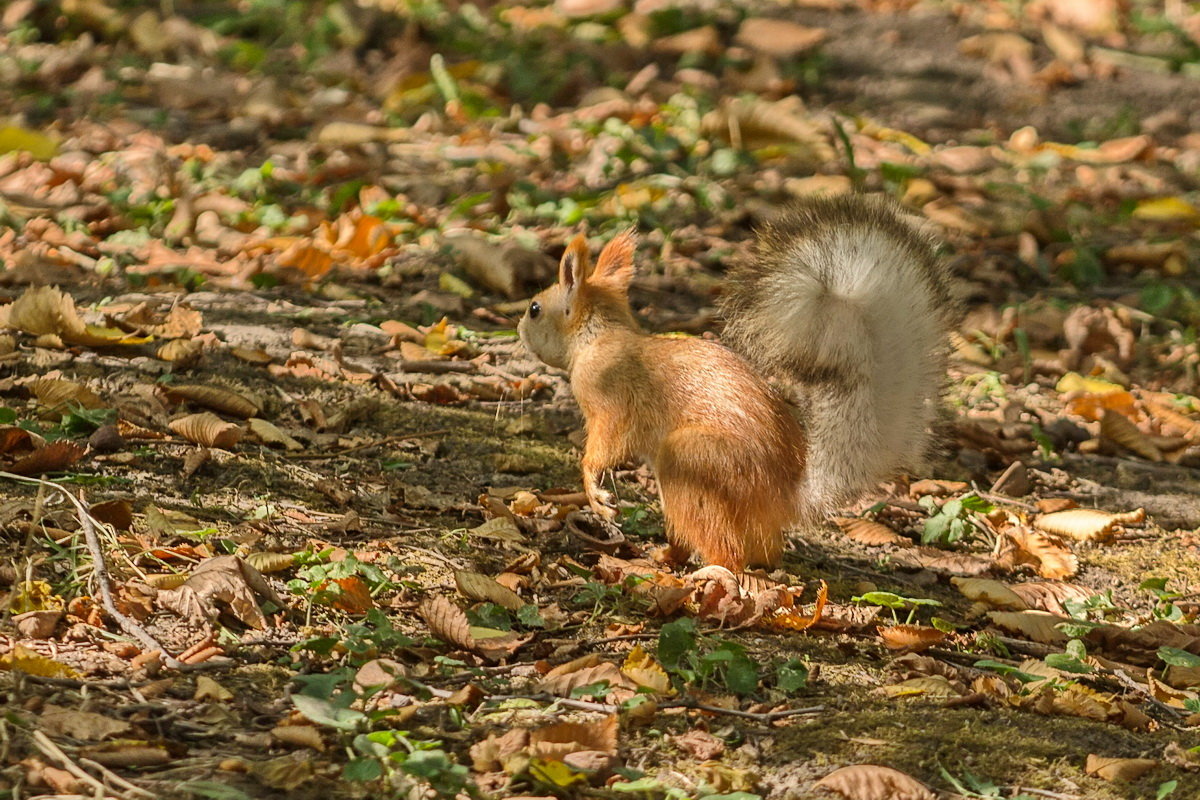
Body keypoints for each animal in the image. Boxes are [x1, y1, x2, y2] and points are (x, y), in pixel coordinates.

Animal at [520, 193, 950, 568]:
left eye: (535, 308)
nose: (520, 330)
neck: (599, 336)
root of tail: (782, 499)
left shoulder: (610, 395)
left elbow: (605, 444)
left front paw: (594, 488)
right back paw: (666, 556)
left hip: (692, 461)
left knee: (727, 552)